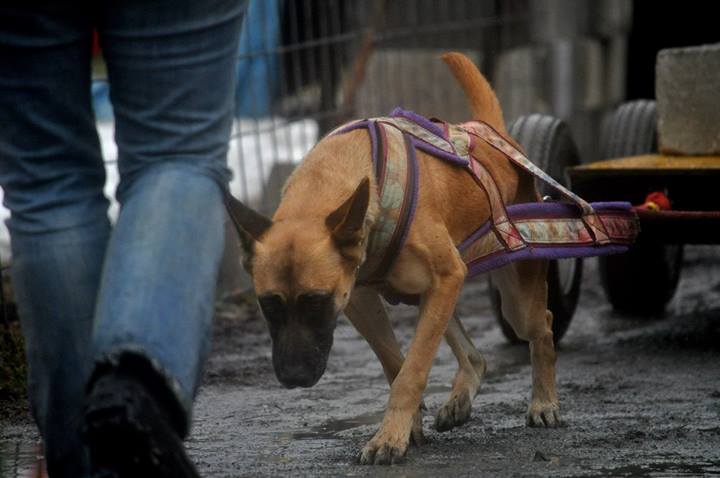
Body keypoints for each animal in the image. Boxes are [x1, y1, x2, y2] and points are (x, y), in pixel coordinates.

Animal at [228, 51, 560, 464]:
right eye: (268, 305)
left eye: (316, 302)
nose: (293, 378)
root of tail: (488, 130)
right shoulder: (361, 301)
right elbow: (395, 365)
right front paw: (406, 426)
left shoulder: (444, 278)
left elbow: (412, 371)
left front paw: (389, 437)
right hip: (433, 295)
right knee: (472, 355)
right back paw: (461, 398)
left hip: (512, 304)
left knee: (543, 326)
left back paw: (543, 402)